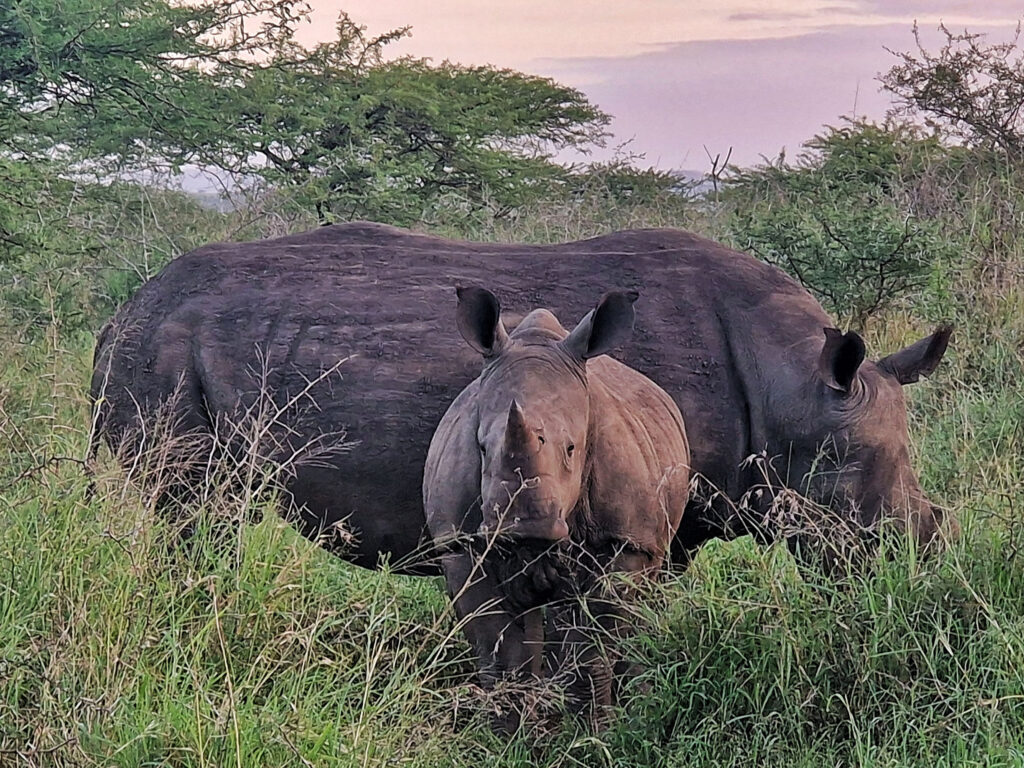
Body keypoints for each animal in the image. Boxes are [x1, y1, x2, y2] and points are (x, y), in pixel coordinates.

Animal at [89, 222, 953, 574]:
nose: (914, 557)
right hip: (162, 356)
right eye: (848, 476)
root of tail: (122, 310)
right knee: (197, 508)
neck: (791, 384)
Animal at [422, 287, 689, 727]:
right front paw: (509, 734)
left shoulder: (624, 541)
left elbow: (593, 648)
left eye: (571, 448)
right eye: (482, 448)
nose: (526, 526)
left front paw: (595, 732)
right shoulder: (462, 544)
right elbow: (500, 652)